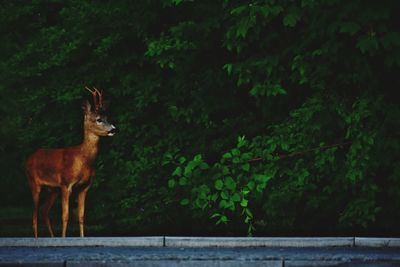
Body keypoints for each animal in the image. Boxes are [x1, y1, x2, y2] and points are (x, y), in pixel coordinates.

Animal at [25, 87, 115, 239]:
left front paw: (82, 238)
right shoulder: (66, 184)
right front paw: (63, 238)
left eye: (108, 117)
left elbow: (81, 216)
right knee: (34, 215)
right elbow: (65, 216)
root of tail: (28, 159)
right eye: (99, 119)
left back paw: (52, 237)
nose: (113, 129)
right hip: (34, 183)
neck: (83, 160)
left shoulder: (84, 187)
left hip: (53, 189)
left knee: (44, 210)